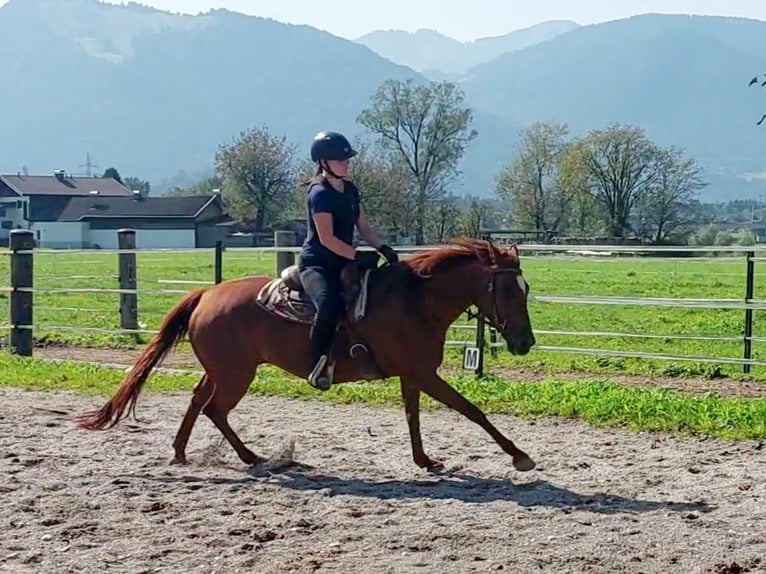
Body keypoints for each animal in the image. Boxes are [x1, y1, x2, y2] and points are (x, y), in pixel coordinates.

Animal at [75, 237, 536, 472]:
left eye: (525, 287)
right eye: (508, 289)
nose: (526, 342)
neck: (413, 300)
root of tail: (207, 293)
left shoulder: (413, 375)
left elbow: (413, 418)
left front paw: (424, 461)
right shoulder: (424, 374)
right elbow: (472, 410)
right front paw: (520, 456)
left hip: (222, 370)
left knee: (197, 400)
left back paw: (182, 452)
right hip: (236, 375)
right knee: (213, 409)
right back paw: (251, 457)